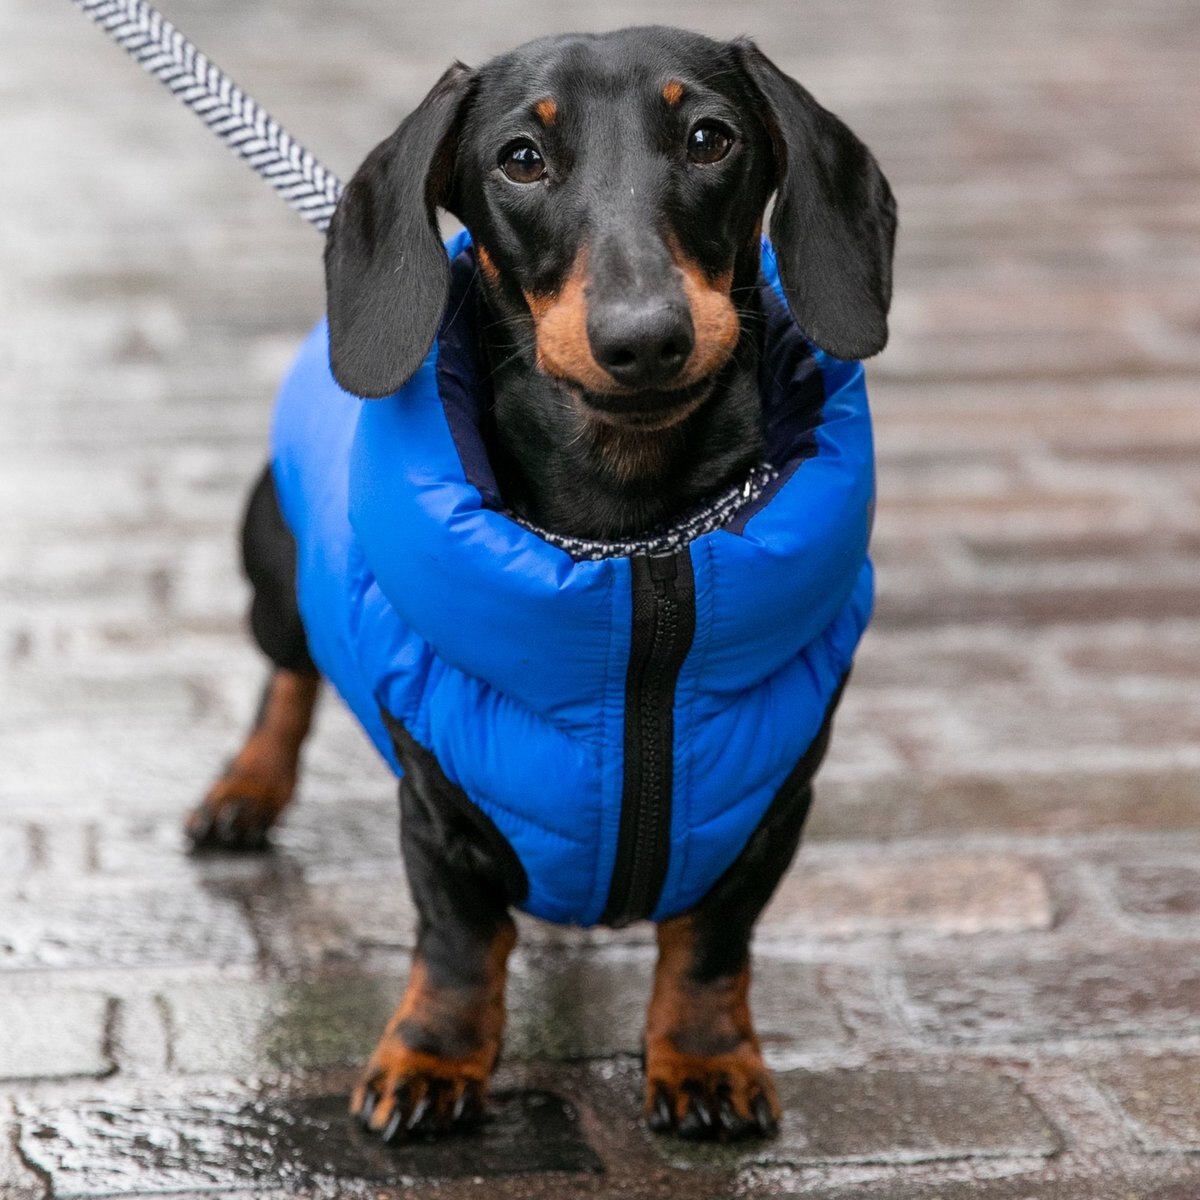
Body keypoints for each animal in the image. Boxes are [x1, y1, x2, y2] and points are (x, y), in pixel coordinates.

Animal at [187, 28, 897, 1142]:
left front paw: (705, 1061)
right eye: (520, 158)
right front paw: (431, 1062)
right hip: (276, 577)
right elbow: (458, 944)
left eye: (711, 138)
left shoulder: (775, 803)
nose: (644, 337)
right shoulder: (439, 803)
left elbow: (712, 945)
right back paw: (243, 792)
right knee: (286, 679)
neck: (635, 549)